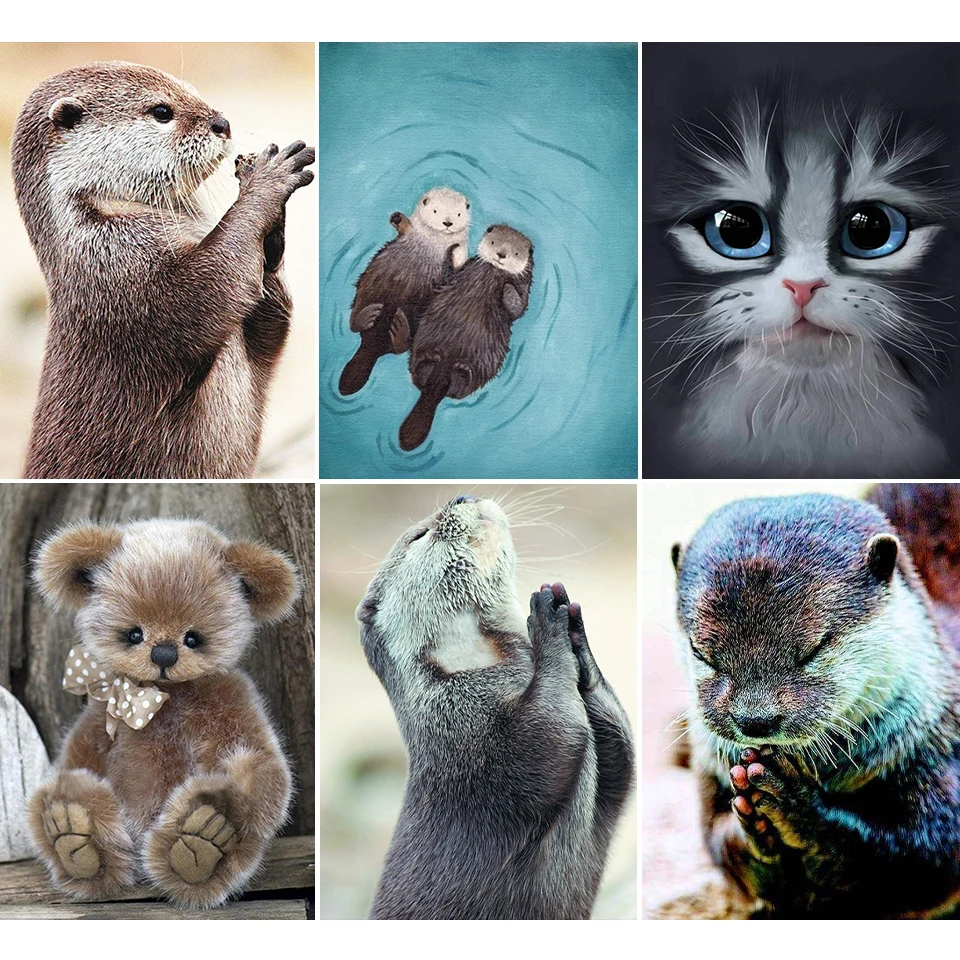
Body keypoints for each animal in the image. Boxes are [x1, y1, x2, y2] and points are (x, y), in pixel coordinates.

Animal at [12, 61, 315, 479]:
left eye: (194, 91)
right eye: (161, 111)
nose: (221, 122)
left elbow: (272, 325)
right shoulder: (126, 283)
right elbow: (209, 289)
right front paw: (267, 180)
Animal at [338, 187, 470, 396]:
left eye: (458, 214)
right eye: (436, 211)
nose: (448, 223)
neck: (437, 239)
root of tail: (373, 346)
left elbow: (458, 261)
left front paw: (453, 251)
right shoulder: (411, 232)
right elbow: (405, 228)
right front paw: (397, 218)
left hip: (417, 318)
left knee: (400, 347)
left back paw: (399, 328)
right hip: (367, 287)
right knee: (357, 320)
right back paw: (366, 317)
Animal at [357, 495, 634, 919]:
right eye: (420, 535)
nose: (460, 497)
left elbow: (623, 755)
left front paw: (576, 635)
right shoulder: (465, 732)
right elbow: (552, 733)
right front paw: (546, 622)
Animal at [399, 225, 533, 451]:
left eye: (516, 253)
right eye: (494, 242)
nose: (501, 255)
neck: (493, 271)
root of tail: (442, 375)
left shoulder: (523, 288)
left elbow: (517, 308)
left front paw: (507, 287)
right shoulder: (464, 269)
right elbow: (449, 275)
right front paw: (452, 249)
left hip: (481, 366)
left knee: (459, 389)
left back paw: (462, 370)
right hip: (421, 350)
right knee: (420, 375)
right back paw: (432, 360)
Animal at [672, 486, 960, 917]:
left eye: (814, 648)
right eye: (702, 652)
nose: (755, 720)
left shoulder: (939, 750)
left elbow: (925, 858)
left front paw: (795, 805)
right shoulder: (708, 773)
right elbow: (720, 843)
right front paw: (752, 831)